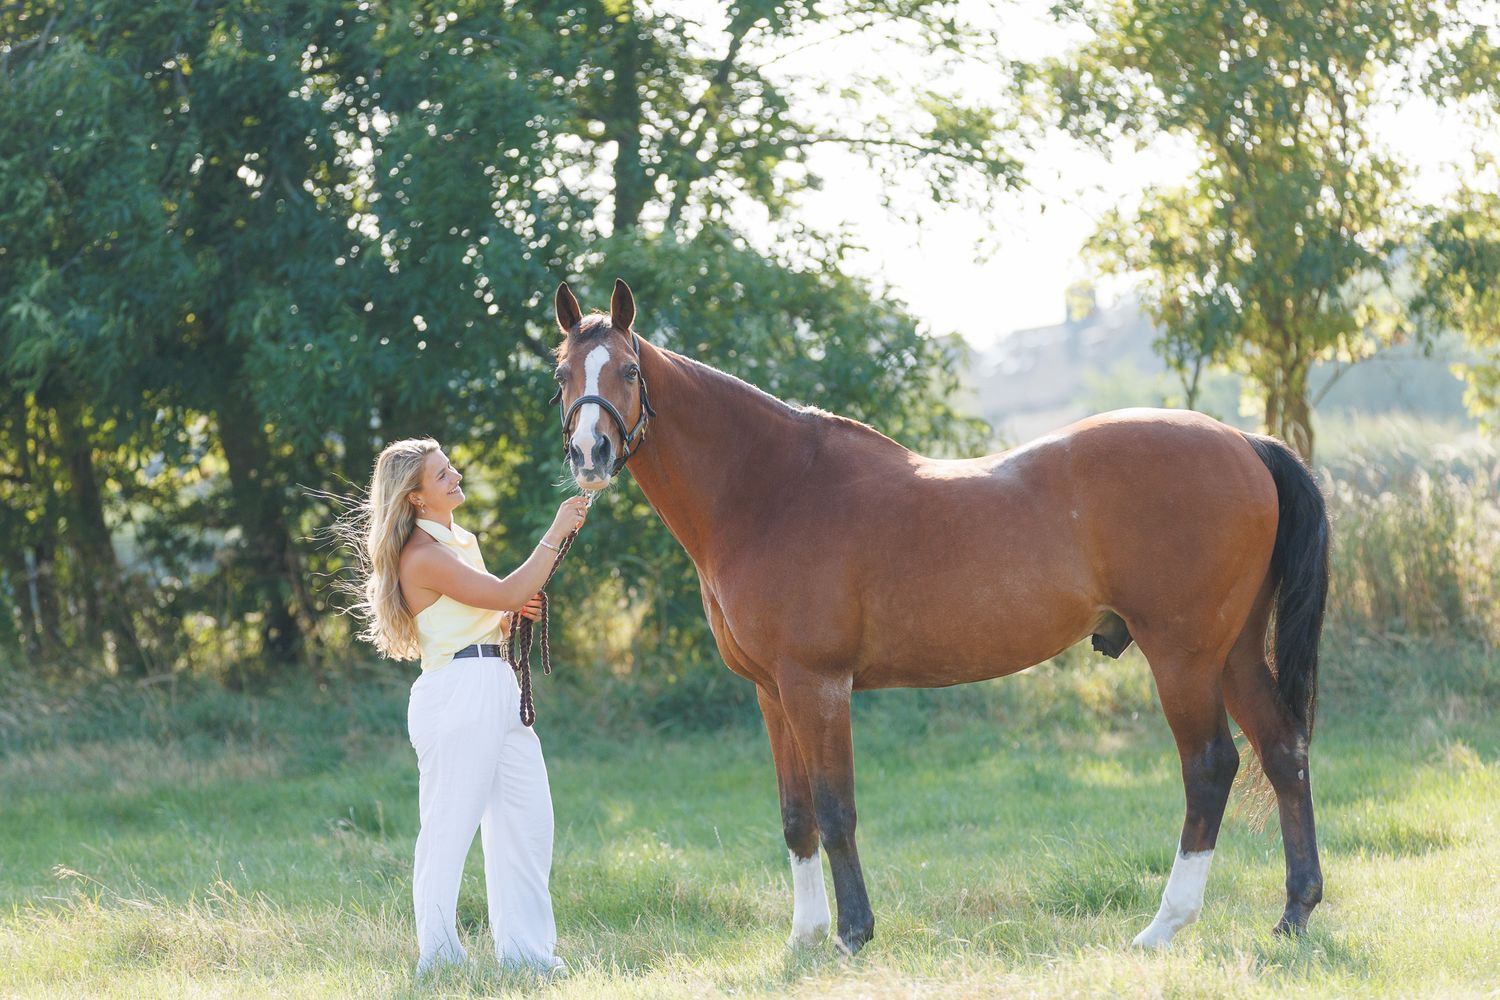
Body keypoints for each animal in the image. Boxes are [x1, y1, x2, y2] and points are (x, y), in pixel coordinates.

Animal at [548, 278, 1329, 954]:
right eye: (561, 375)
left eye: (626, 370)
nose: (590, 454)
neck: (773, 490)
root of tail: (1245, 443)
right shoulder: (771, 693)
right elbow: (796, 816)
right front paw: (803, 937)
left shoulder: (816, 685)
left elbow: (835, 809)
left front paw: (852, 934)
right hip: (1231, 653)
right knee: (1283, 750)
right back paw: (1295, 913)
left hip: (1183, 655)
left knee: (1211, 766)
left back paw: (1165, 925)